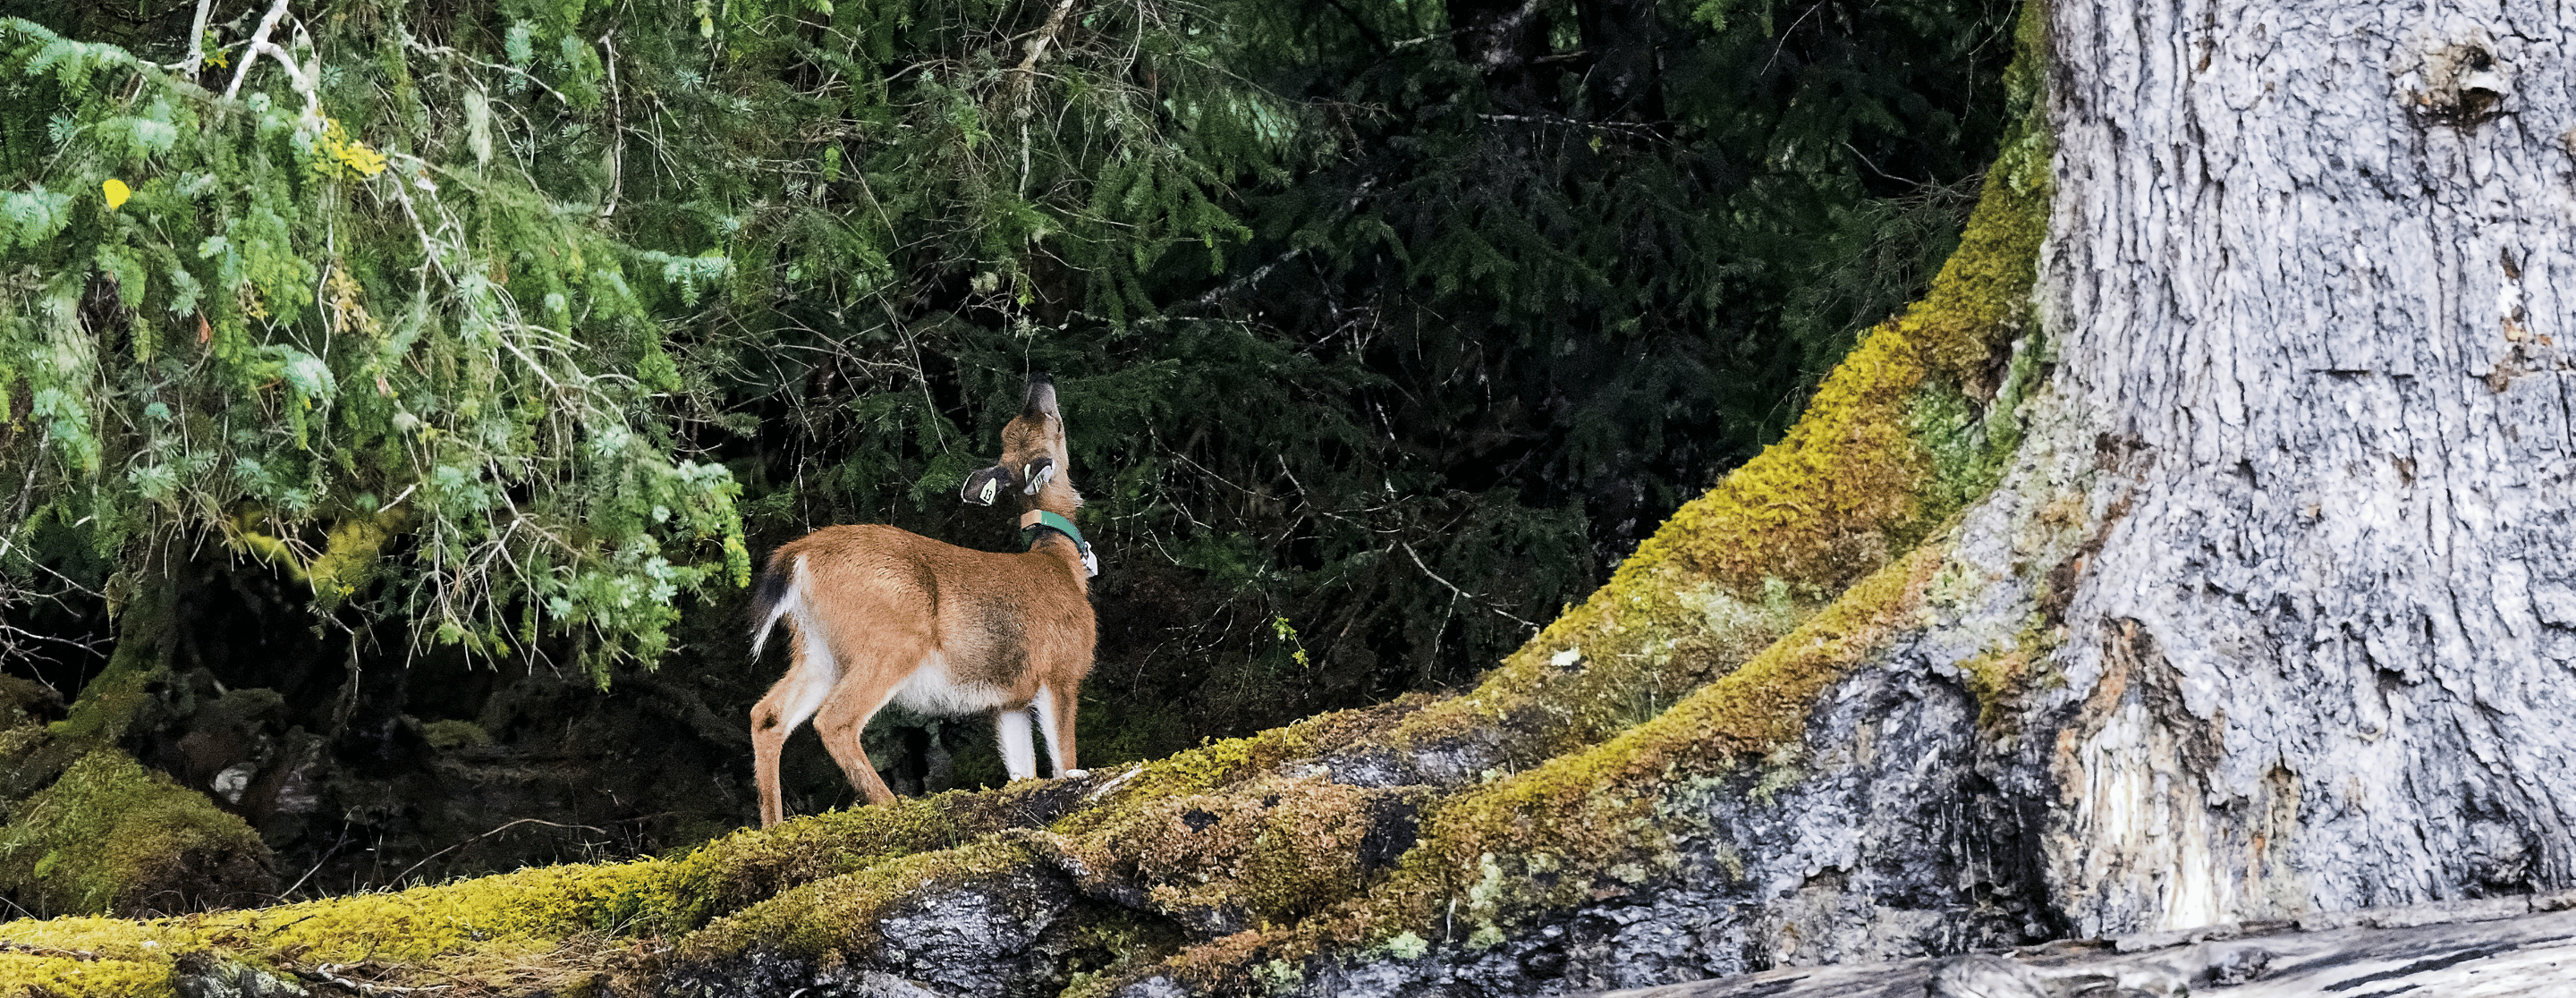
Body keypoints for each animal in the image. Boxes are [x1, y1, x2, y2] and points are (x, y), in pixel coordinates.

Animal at [746, 373, 1098, 828]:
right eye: (1055, 424)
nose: (1039, 382)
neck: (1059, 562)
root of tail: (797, 556)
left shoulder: (1008, 700)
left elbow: (1023, 772)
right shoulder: (1061, 670)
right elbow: (1063, 763)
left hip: (818, 650)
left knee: (767, 715)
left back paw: (771, 827)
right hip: (893, 639)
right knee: (835, 720)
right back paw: (892, 805)